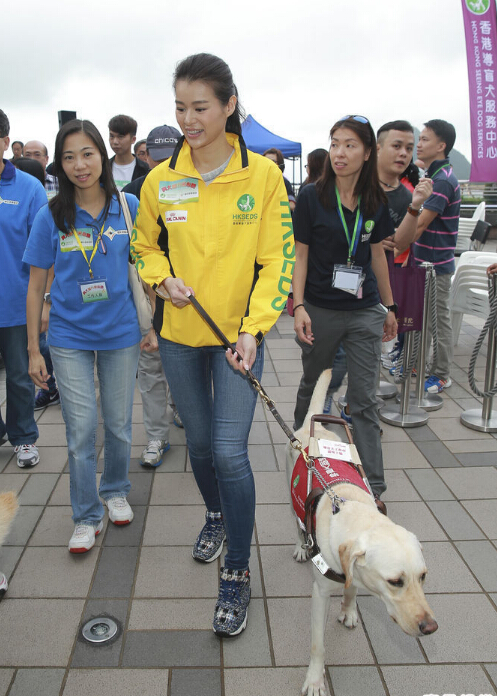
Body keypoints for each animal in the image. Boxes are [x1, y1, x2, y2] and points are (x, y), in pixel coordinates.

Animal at [284, 370, 436, 696]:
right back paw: (301, 545)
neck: (351, 508)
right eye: (395, 582)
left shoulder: (351, 564)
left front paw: (350, 609)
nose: (430, 628)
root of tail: (313, 427)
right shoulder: (320, 593)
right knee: (296, 523)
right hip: (290, 494)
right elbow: (318, 645)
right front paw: (315, 680)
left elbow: (352, 586)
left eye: (423, 576)